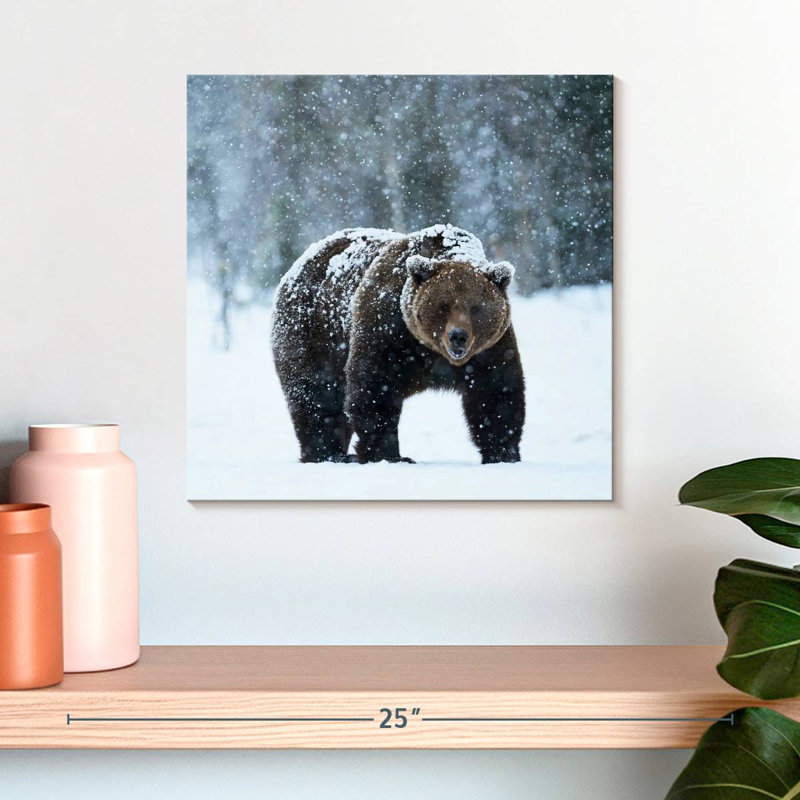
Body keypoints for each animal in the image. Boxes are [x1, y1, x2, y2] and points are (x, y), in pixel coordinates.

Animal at [271, 224, 525, 464]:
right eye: (444, 305)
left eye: (476, 308)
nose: (458, 336)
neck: (431, 351)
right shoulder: (387, 330)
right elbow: (374, 388)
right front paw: (389, 454)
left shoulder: (490, 349)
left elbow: (496, 394)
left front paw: (503, 454)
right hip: (313, 333)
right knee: (317, 396)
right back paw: (328, 454)